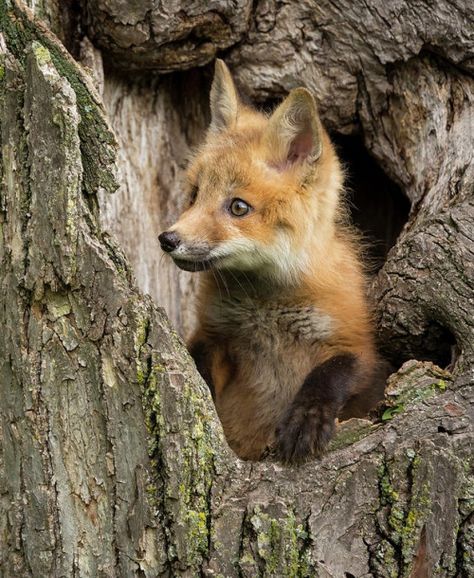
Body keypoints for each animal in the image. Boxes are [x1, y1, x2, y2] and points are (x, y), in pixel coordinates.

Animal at [159, 59, 386, 464]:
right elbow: (199, 365)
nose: (168, 239)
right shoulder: (214, 335)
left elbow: (333, 371)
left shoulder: (358, 344)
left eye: (238, 207)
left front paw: (306, 418)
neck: (266, 310)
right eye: (195, 194)